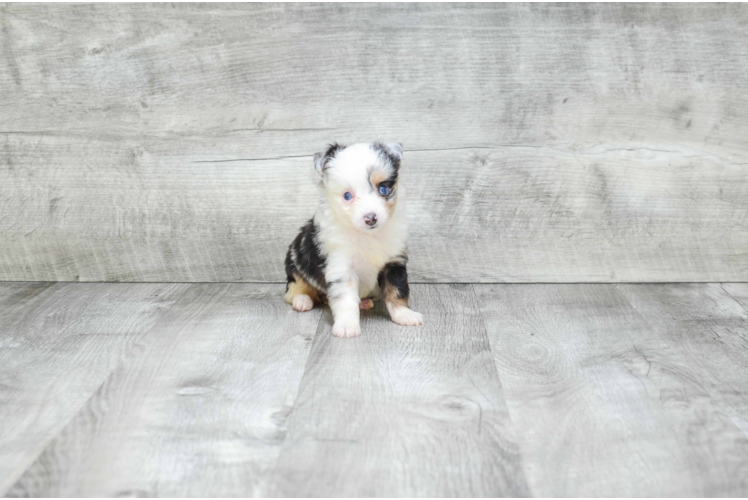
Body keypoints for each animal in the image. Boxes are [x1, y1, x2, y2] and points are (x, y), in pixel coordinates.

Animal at [284, 143, 424, 338]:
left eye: (383, 189)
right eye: (347, 196)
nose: (371, 218)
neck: (368, 235)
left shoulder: (394, 262)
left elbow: (397, 290)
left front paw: (404, 314)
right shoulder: (341, 267)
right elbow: (345, 299)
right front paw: (347, 326)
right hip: (295, 263)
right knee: (294, 289)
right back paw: (302, 300)